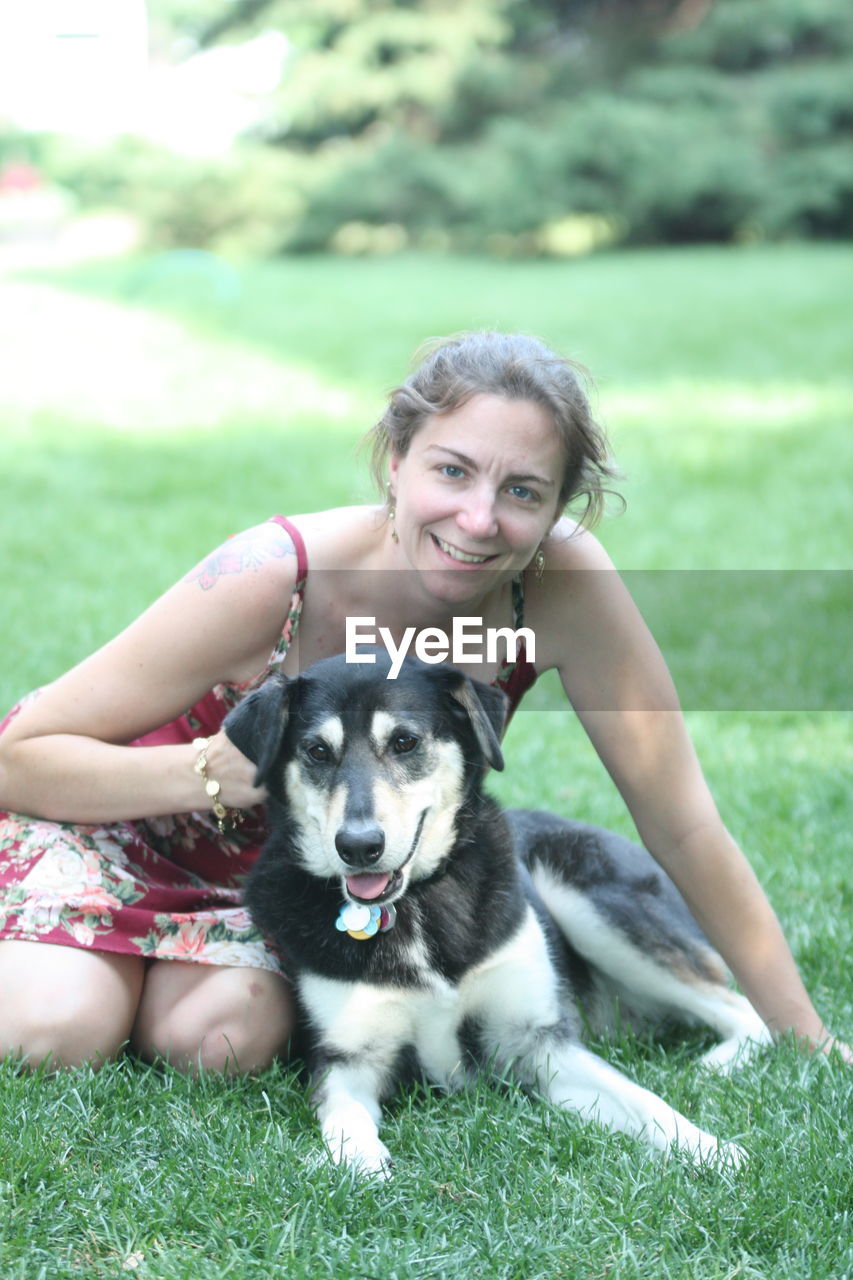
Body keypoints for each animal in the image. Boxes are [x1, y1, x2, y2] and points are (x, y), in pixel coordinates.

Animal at [224, 655, 763, 1172]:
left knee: (748, 1012)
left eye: (404, 741)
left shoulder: (539, 1042)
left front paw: (710, 1149)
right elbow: (347, 1123)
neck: (415, 902)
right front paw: (362, 1163)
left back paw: (714, 1067)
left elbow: (644, 1100)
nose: (358, 847)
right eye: (317, 751)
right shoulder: (347, 1061)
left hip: (590, 906)